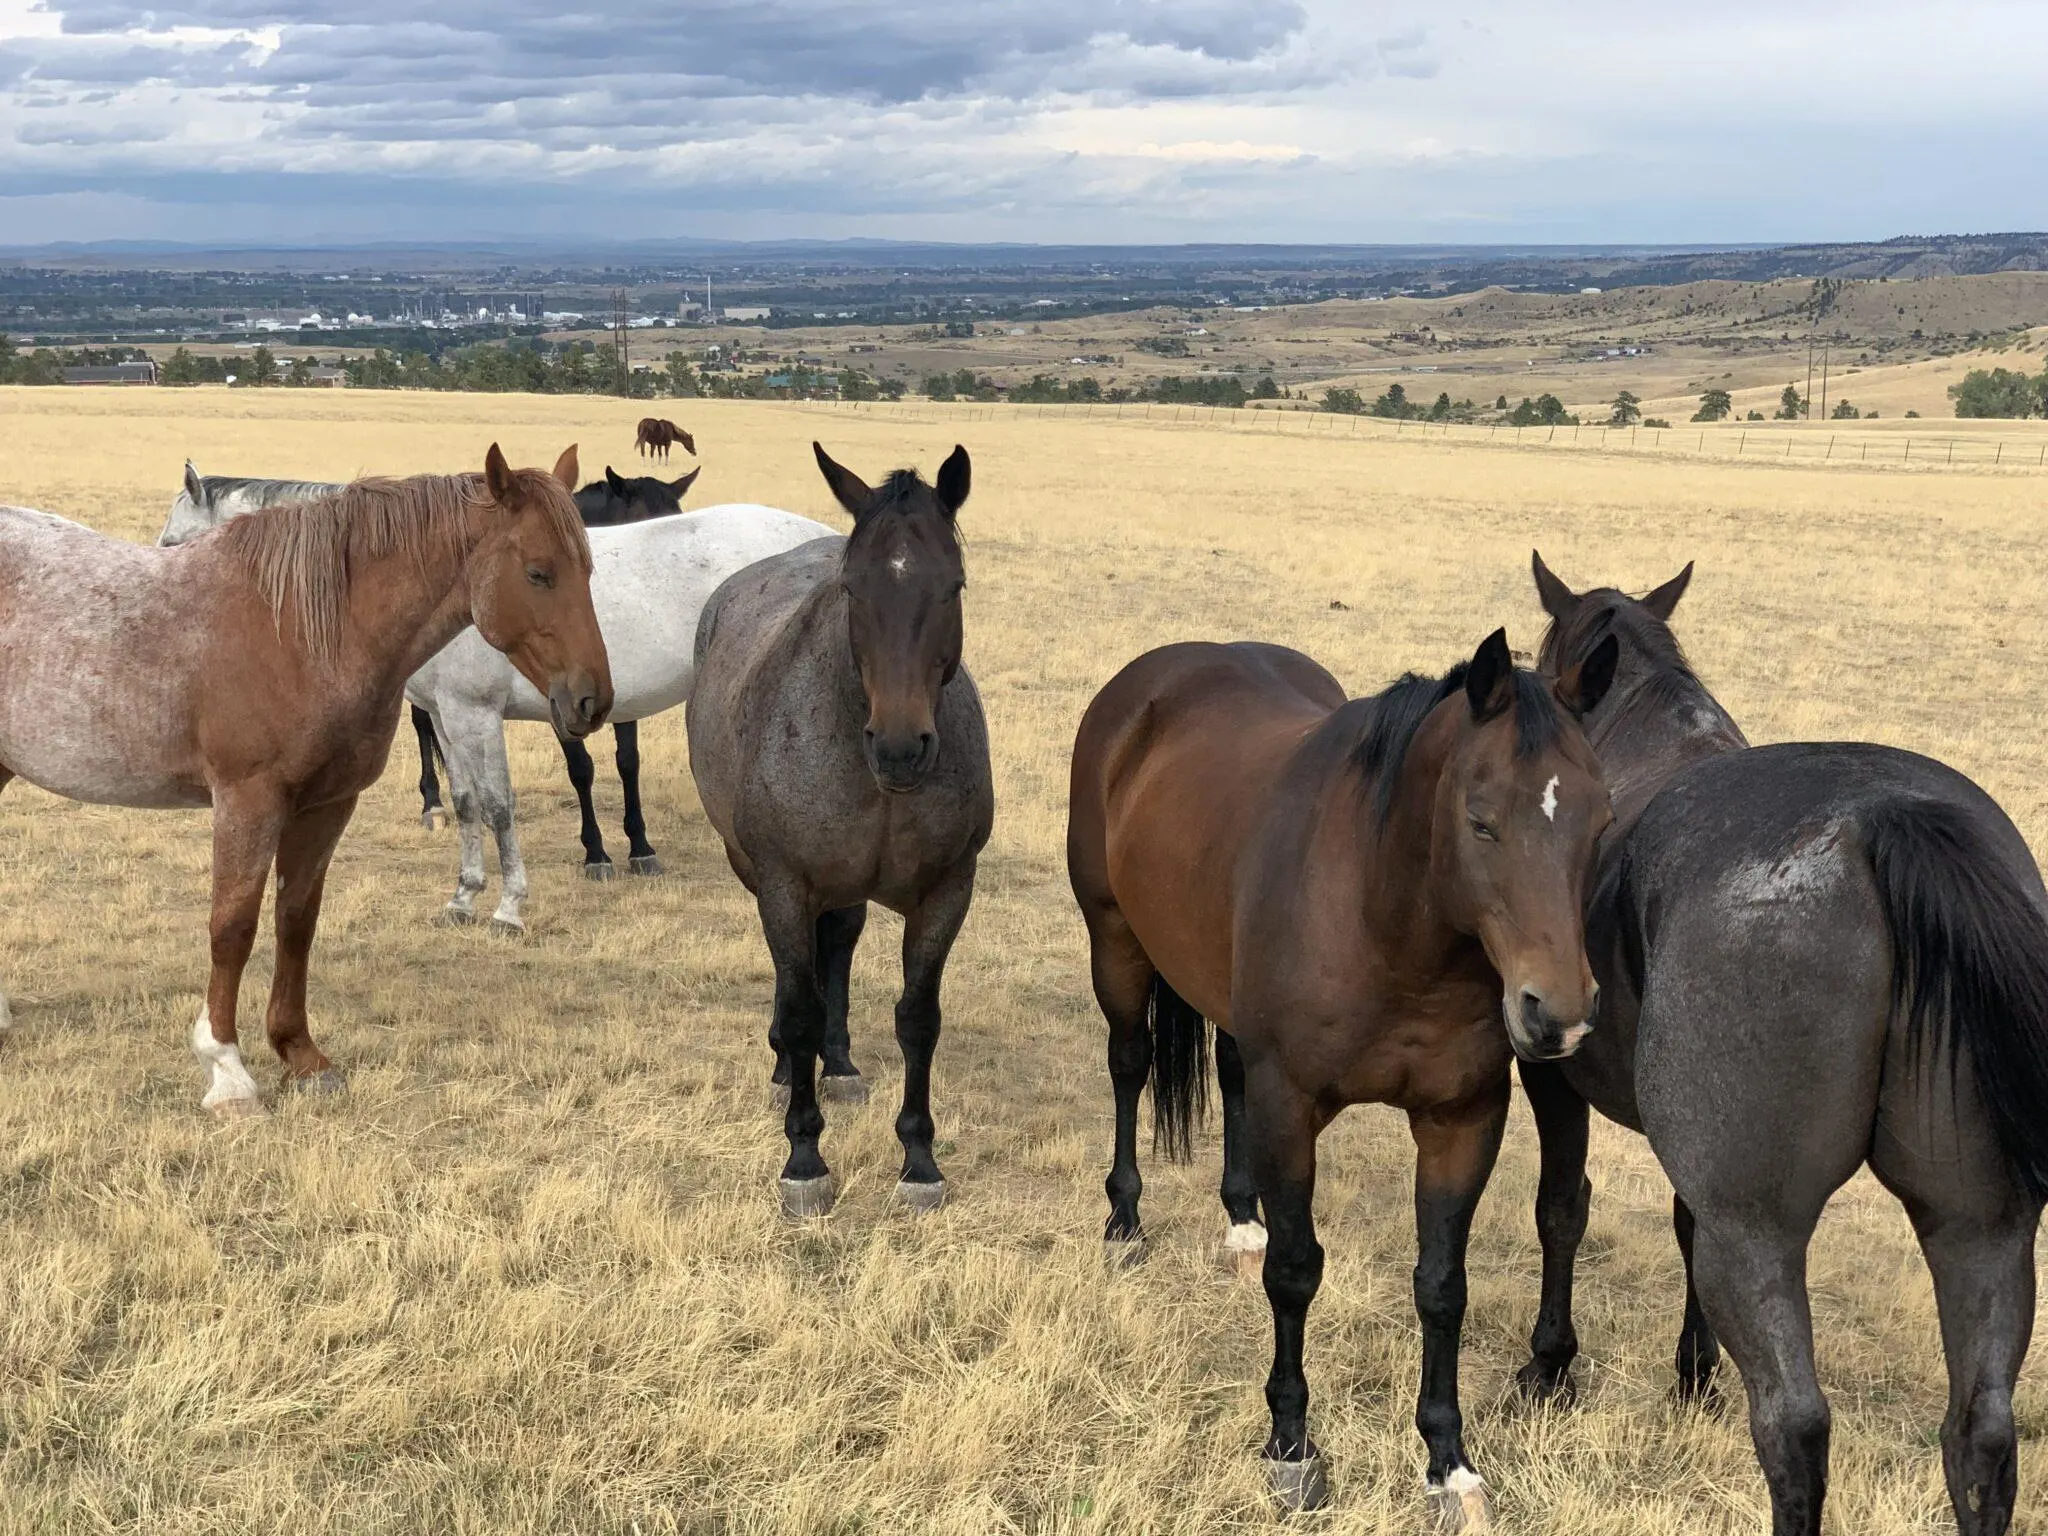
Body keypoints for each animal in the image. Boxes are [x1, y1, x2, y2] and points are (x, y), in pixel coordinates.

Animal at [0, 444, 606, 1122]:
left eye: (588, 570)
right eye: (538, 573)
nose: (591, 701)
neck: (299, 629)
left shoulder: (327, 804)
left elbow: (296, 919)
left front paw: (300, 1054)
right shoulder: (247, 801)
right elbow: (233, 927)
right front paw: (228, 1072)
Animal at [688, 438, 991, 1220]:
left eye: (953, 586)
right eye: (854, 590)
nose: (901, 747)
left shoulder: (948, 892)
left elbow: (918, 1017)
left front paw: (919, 1161)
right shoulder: (785, 886)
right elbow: (798, 1003)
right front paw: (804, 1159)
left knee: (841, 945)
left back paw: (841, 1062)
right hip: (756, 872)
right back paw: (786, 1068)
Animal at [1073, 630, 1613, 1523]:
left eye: (1600, 820)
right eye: (1481, 821)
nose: (1557, 1016)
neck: (1386, 921)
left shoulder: (1463, 1119)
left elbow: (1441, 1285)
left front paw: (1447, 1463)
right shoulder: (1292, 1106)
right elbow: (1296, 1273)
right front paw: (1292, 1449)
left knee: (1228, 1071)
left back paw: (1240, 1221)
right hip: (1115, 944)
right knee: (1128, 1065)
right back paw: (1123, 1222)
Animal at [1523, 557, 2048, 1536]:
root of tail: (1888, 821)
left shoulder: (1553, 1081)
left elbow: (1562, 1210)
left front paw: (1551, 1362)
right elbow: (1676, 1221)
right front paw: (1693, 1374)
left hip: (1760, 1232)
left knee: (1795, 1426)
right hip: (1981, 1224)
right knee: (1981, 1438)